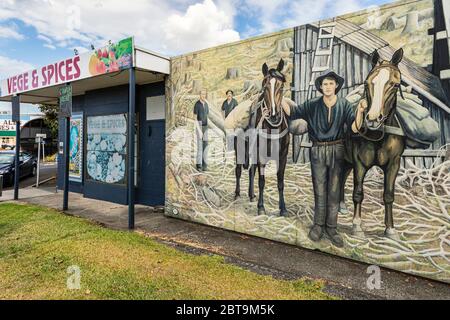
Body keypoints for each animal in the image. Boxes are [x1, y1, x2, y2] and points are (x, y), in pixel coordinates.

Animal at [234, 58, 290, 216]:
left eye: (281, 86)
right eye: (265, 86)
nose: (273, 115)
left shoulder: (282, 155)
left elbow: (280, 181)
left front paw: (283, 208)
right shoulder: (261, 155)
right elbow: (262, 180)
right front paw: (261, 207)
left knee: (251, 171)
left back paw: (251, 195)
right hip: (240, 150)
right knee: (238, 171)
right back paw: (237, 194)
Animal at [342, 46, 408, 239]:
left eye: (395, 84)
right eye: (366, 83)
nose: (372, 119)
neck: (380, 135)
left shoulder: (394, 164)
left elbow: (388, 195)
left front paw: (390, 229)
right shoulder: (359, 163)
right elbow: (358, 193)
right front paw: (357, 226)